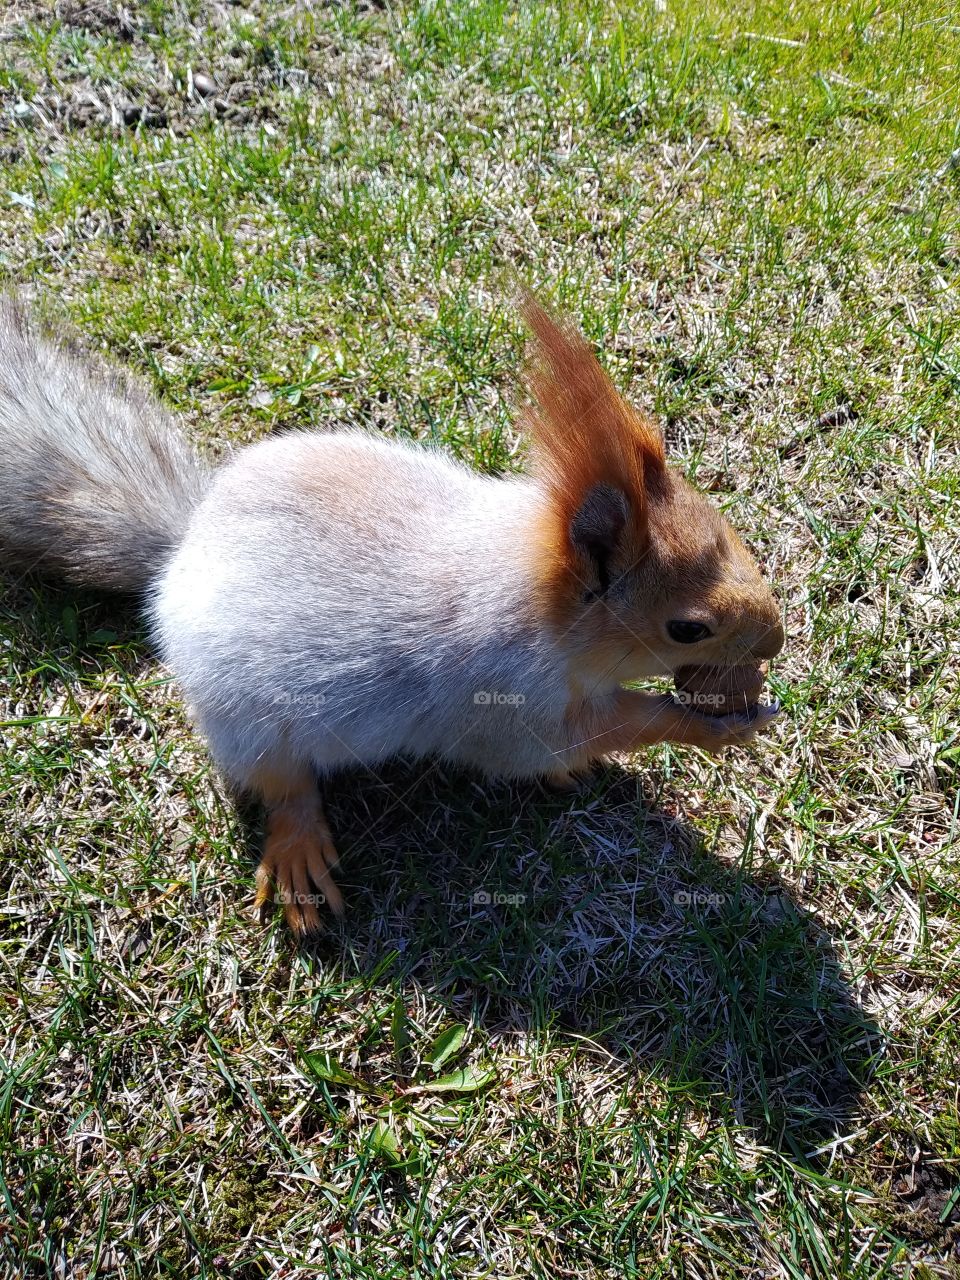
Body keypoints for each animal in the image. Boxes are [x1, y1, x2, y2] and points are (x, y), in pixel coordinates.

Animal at [0, 293, 784, 934]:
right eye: (687, 628)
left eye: (728, 532)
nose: (775, 639)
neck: (533, 595)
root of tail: (182, 551)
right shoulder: (503, 705)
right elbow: (593, 731)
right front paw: (707, 727)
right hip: (248, 722)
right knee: (283, 787)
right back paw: (297, 846)